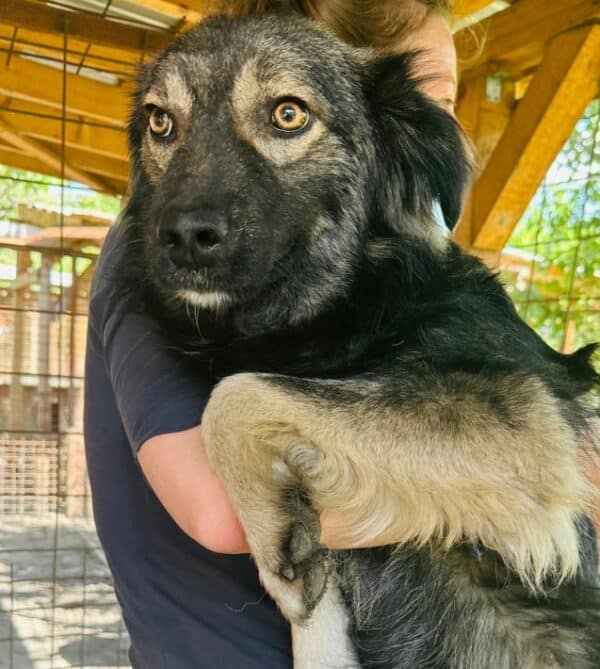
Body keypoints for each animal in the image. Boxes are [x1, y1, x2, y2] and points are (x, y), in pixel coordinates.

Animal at [118, 11, 600, 668]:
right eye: (161, 122)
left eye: (288, 114)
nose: (184, 237)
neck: (344, 305)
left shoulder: (531, 424)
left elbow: (237, 394)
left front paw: (272, 539)